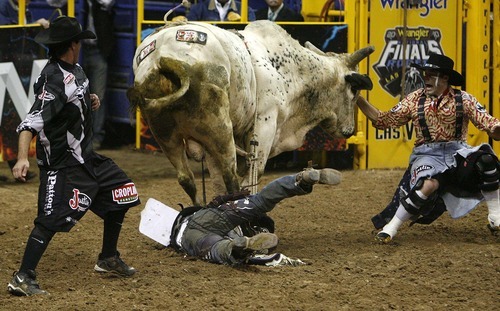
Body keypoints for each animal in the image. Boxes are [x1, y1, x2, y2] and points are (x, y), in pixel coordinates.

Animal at [127, 19, 374, 205]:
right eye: (354, 90)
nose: (349, 130)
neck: (292, 70)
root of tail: (162, 57)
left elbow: (217, 181)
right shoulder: (264, 124)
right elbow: (253, 174)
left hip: (166, 134)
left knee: (187, 178)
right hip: (219, 129)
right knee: (231, 177)